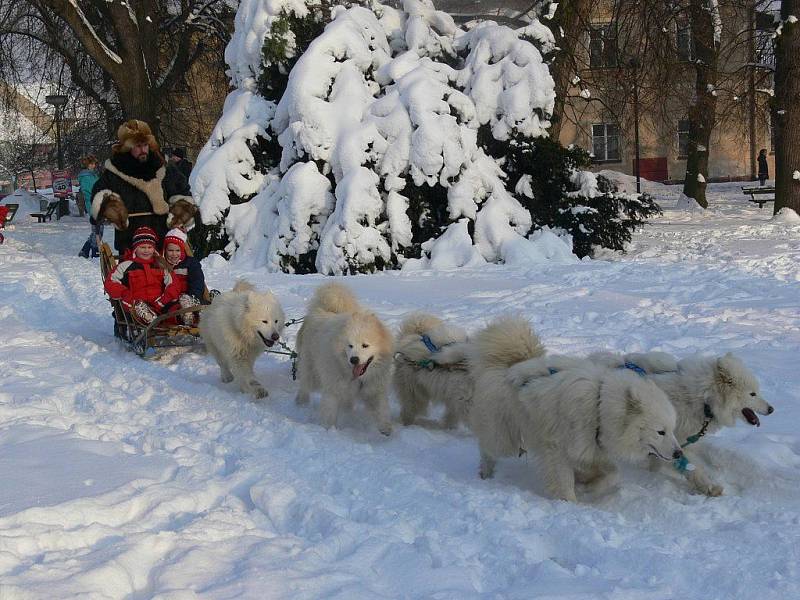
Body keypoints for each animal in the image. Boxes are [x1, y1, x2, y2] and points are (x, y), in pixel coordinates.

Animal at [294, 284, 394, 434]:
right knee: (305, 386)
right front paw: (327, 430)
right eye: (350, 345)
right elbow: (329, 413)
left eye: (365, 345)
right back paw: (300, 403)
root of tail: (320, 310)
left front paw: (386, 429)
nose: (354, 359)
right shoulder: (333, 388)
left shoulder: (374, 388)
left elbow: (382, 410)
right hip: (311, 371)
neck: (358, 378)